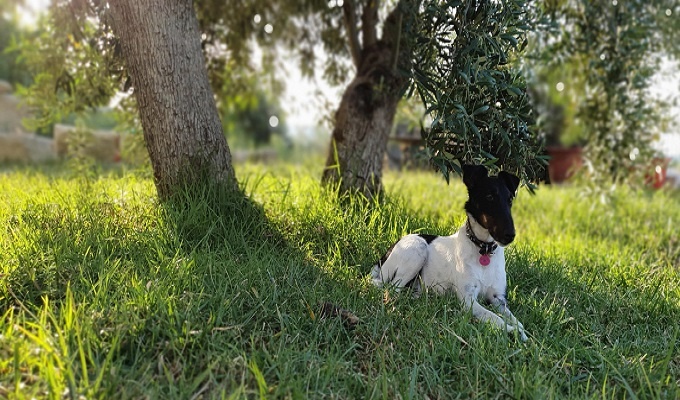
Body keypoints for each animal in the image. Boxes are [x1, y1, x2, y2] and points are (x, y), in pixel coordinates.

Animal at [372, 165, 524, 340]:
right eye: (489, 197)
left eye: (510, 200)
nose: (510, 235)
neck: (483, 249)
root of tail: (385, 255)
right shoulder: (468, 300)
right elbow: (494, 317)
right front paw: (512, 332)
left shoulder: (498, 298)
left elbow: (516, 320)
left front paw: (523, 334)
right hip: (417, 249)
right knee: (391, 288)